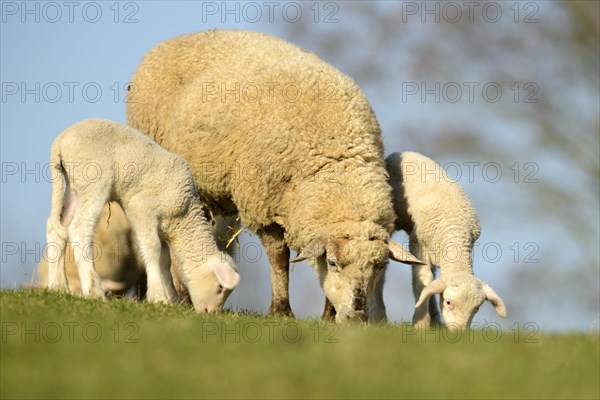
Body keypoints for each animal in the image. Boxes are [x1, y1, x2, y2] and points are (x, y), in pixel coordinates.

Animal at [45, 119, 240, 312]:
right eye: (220, 287)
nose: (210, 313)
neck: (184, 216)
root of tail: (61, 140)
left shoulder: (161, 228)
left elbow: (165, 259)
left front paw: (171, 299)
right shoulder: (141, 207)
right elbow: (152, 249)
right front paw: (158, 296)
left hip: (75, 186)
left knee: (57, 228)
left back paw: (58, 287)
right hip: (93, 180)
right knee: (79, 228)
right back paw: (94, 292)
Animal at [125, 28, 422, 322]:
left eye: (380, 266)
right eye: (334, 263)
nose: (357, 317)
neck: (336, 157)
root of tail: (171, 41)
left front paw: (327, 317)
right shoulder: (263, 207)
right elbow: (278, 257)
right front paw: (281, 310)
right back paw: (182, 299)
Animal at [384, 152, 506, 330]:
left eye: (477, 308)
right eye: (448, 302)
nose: (459, 332)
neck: (454, 231)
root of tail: (403, 153)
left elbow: (430, 284)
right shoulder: (418, 242)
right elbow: (422, 280)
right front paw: (420, 324)